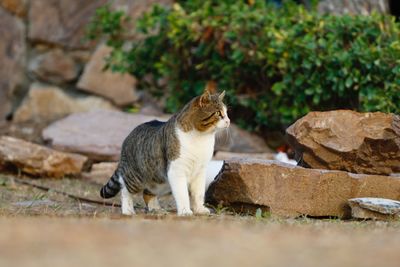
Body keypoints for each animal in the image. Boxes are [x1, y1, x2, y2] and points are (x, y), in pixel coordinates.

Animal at [101, 87, 231, 217]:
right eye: (218, 113)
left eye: (226, 112)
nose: (229, 121)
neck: (202, 138)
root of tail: (127, 137)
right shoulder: (176, 170)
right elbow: (182, 194)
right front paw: (185, 211)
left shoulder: (200, 171)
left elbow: (198, 194)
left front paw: (199, 209)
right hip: (136, 178)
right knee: (125, 189)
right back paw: (128, 210)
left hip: (160, 181)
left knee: (147, 193)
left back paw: (156, 209)